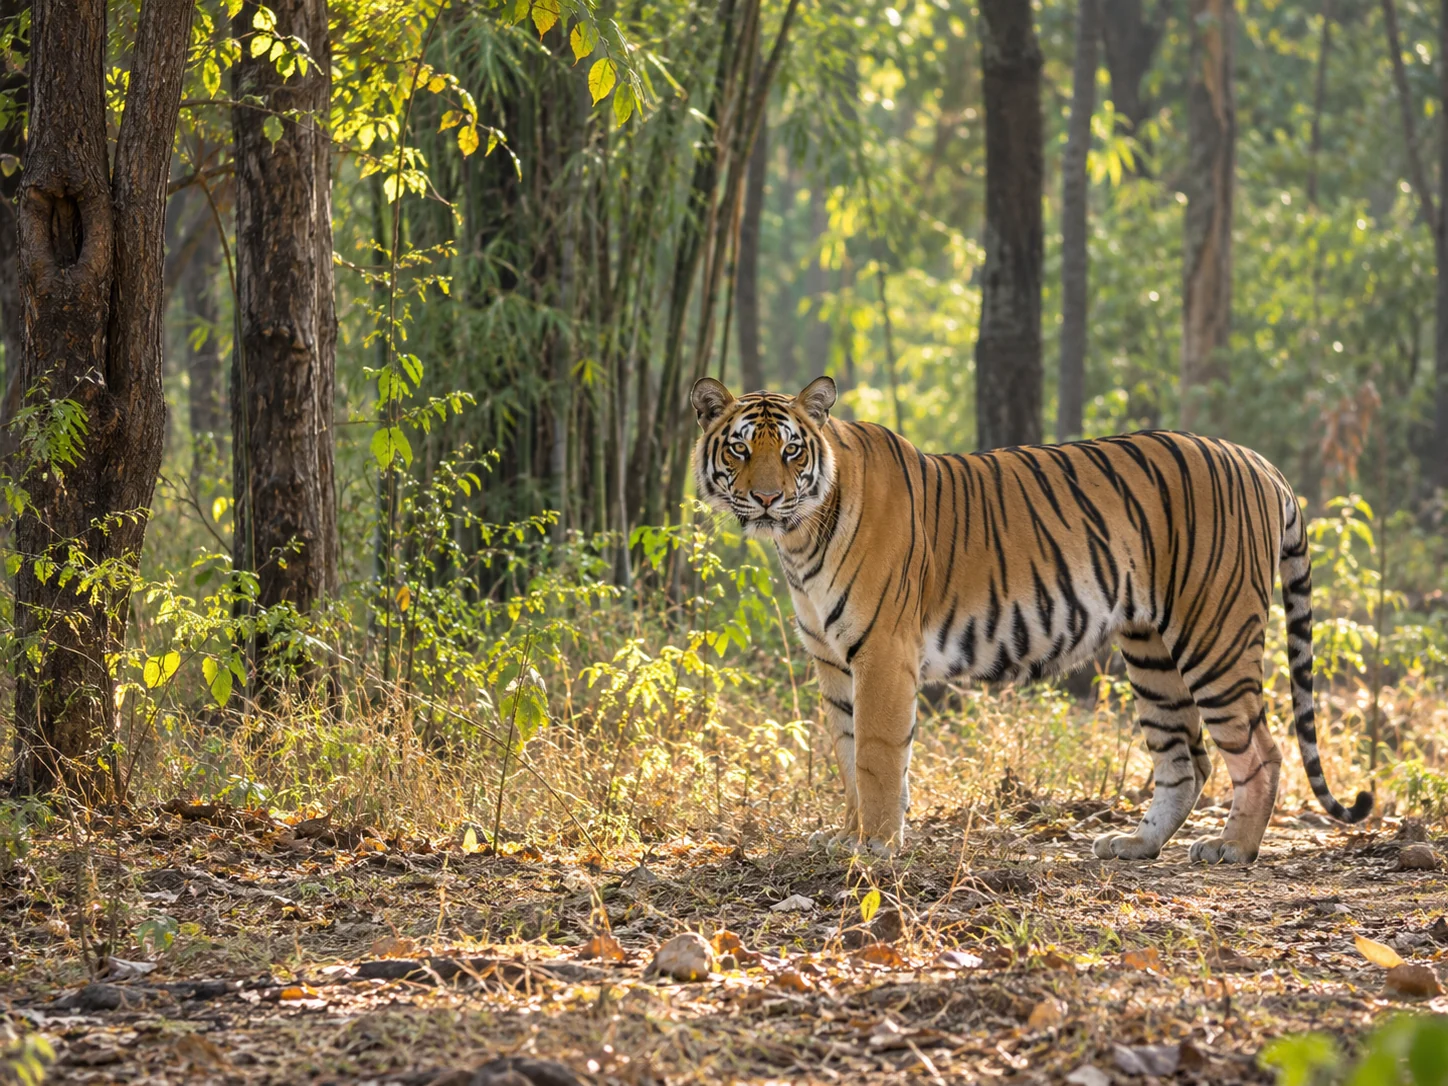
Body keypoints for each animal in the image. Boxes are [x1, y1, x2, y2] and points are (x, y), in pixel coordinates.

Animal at [690, 374, 1371, 863]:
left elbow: (877, 756)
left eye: (791, 450)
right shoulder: (833, 662)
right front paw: (848, 836)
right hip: (1152, 650)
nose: (768, 498)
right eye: (740, 447)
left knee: (1262, 751)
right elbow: (846, 752)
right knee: (1186, 760)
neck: (799, 539)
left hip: (1214, 636)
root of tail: (1258, 460)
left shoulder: (882, 653)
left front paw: (876, 847)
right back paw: (1136, 844)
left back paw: (1232, 847)